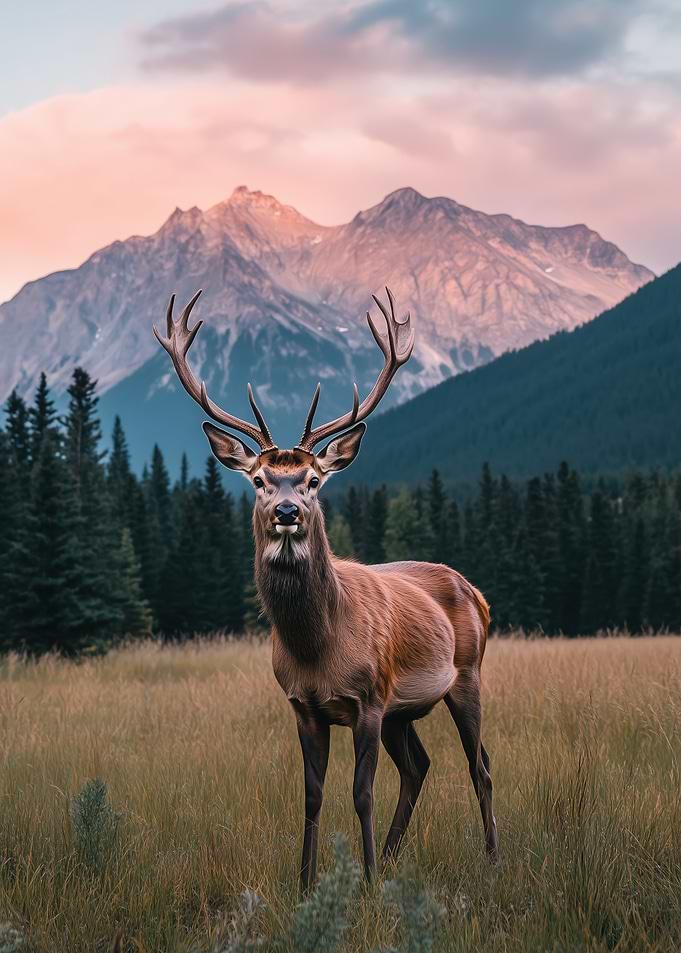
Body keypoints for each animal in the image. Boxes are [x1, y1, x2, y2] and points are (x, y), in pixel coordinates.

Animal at [154, 288, 498, 891]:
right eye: (260, 480)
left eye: (314, 480)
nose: (288, 511)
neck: (318, 646)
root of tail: (477, 594)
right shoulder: (303, 706)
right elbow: (312, 797)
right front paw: (308, 884)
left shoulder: (368, 699)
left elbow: (361, 794)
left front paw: (364, 884)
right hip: (404, 710)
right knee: (420, 767)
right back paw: (393, 858)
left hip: (467, 675)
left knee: (480, 766)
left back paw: (490, 859)